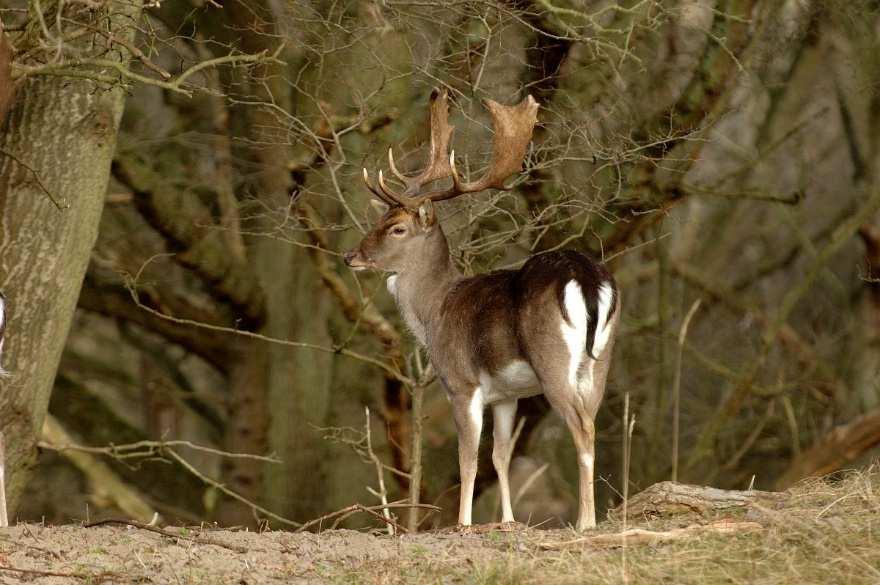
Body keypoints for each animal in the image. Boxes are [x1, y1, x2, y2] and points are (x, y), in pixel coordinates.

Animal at [344, 90, 620, 528]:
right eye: (381, 218)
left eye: (398, 228)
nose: (350, 256)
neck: (435, 310)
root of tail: (588, 279)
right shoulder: (507, 393)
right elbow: (500, 455)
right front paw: (507, 521)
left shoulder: (461, 382)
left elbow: (468, 458)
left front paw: (463, 522)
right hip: (600, 361)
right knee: (590, 421)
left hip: (553, 361)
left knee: (581, 429)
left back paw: (585, 521)